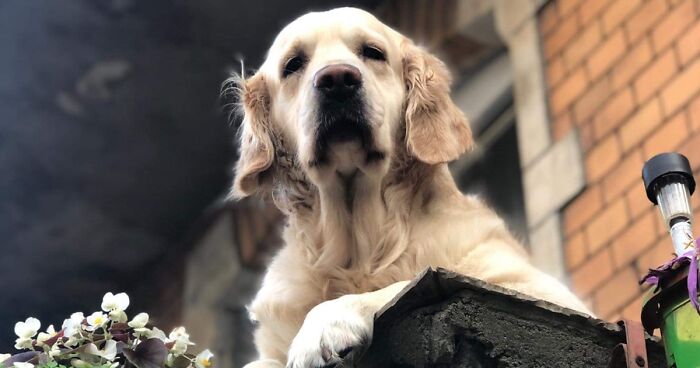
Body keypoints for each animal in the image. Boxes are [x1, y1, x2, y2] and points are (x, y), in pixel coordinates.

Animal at [231, 7, 592, 368]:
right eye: (293, 64)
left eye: (372, 52)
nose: (337, 80)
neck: (359, 250)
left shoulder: (537, 287)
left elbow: (410, 280)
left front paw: (326, 322)